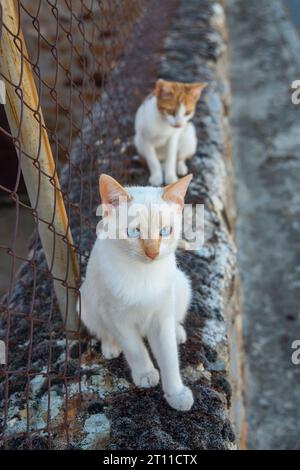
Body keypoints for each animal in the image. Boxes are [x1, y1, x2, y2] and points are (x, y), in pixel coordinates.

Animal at [78, 173, 193, 412]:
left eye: (165, 231)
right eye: (134, 232)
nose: (153, 253)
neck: (144, 275)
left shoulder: (160, 317)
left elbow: (169, 357)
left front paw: (176, 394)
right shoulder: (117, 317)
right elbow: (135, 349)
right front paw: (146, 375)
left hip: (182, 285)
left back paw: (177, 332)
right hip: (85, 302)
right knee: (104, 331)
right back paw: (111, 347)